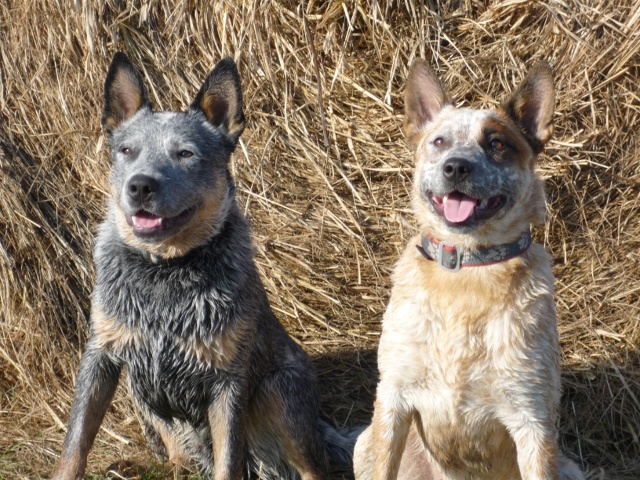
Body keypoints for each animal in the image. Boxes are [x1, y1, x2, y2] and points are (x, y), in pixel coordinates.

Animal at [52, 52, 358, 480]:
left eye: (186, 153)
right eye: (127, 150)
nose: (140, 185)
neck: (165, 271)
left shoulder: (227, 379)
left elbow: (228, 461)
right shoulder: (101, 355)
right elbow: (75, 442)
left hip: (279, 390)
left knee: (310, 467)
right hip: (142, 394)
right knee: (179, 457)